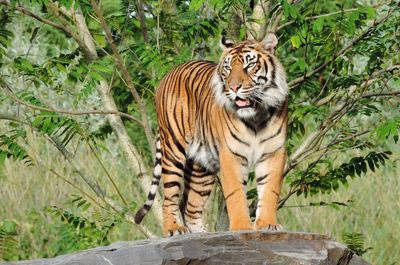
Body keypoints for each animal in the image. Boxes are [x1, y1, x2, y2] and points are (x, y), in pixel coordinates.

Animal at [134, 32, 288, 236]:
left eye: (249, 65)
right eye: (228, 68)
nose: (233, 88)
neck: (256, 115)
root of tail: (169, 73)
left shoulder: (273, 152)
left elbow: (270, 191)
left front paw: (267, 224)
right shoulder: (230, 155)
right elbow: (235, 193)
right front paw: (242, 227)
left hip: (202, 166)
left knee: (190, 207)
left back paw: (202, 235)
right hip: (173, 150)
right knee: (169, 196)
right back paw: (174, 229)